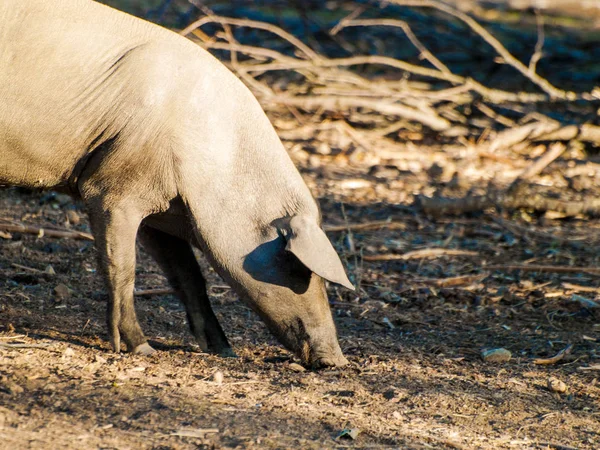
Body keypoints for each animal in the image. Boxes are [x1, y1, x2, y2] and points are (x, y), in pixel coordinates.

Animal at [0, 0, 352, 370]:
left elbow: (189, 278)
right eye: (297, 267)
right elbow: (123, 269)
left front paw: (224, 350)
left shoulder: (162, 212)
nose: (337, 360)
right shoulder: (111, 192)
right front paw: (141, 349)